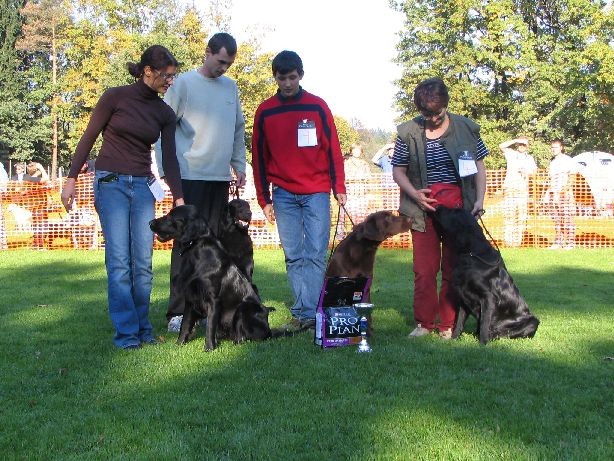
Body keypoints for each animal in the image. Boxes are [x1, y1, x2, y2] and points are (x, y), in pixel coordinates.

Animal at [149, 203, 274, 350]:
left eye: (170, 216)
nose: (150, 222)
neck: (197, 251)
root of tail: (270, 331)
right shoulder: (190, 299)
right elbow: (185, 325)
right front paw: (179, 344)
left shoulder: (213, 300)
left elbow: (210, 326)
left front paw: (209, 348)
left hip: (244, 308)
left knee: (243, 337)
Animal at [436, 207, 540, 344]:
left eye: (454, 211)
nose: (438, 207)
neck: (471, 253)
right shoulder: (463, 297)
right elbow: (458, 323)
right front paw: (453, 340)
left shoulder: (488, 297)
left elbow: (485, 324)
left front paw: (483, 344)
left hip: (533, 321)